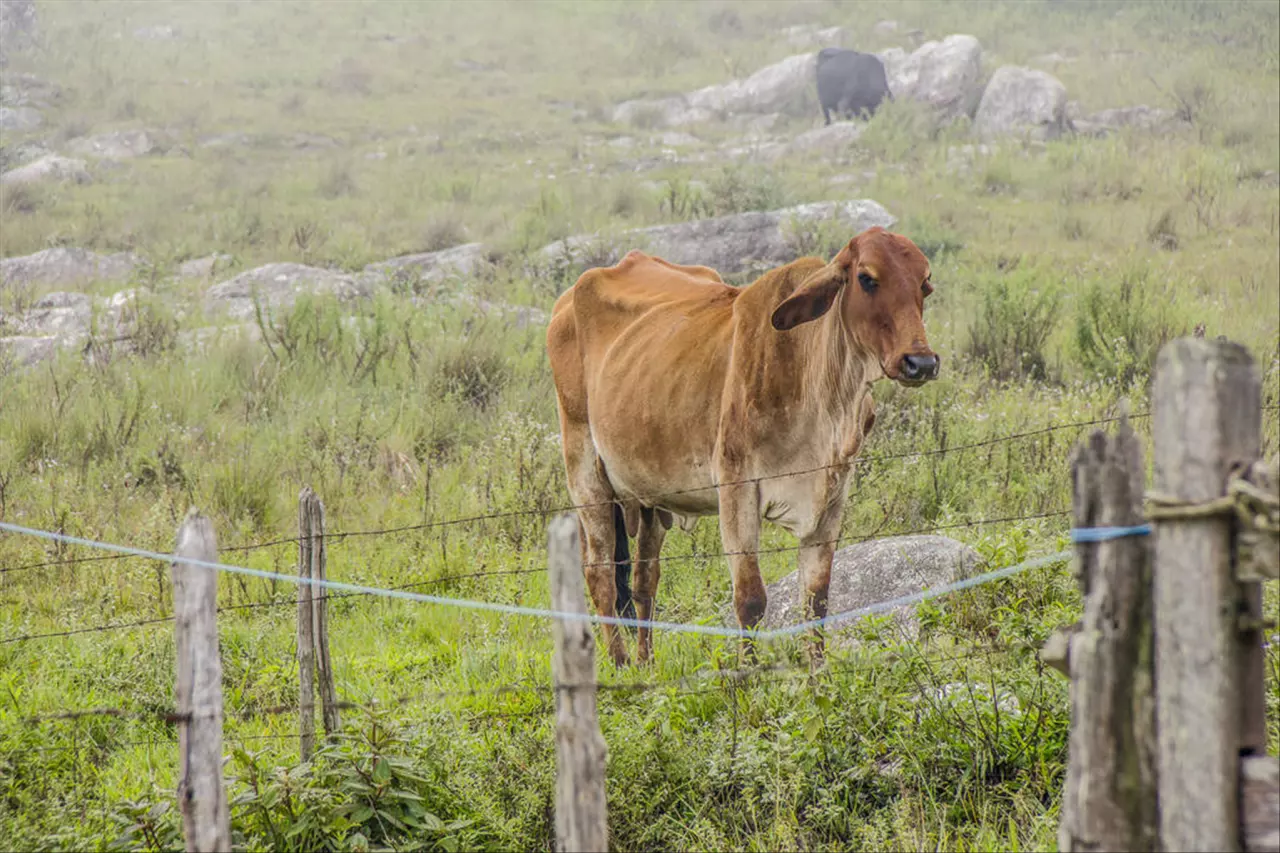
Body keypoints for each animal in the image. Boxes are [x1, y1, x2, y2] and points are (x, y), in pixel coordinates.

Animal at [545, 225, 936, 666]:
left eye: (925, 283)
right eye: (867, 278)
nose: (921, 362)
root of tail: (568, 298)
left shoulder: (831, 496)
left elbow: (816, 600)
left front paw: (818, 673)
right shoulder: (737, 491)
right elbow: (750, 600)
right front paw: (748, 674)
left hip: (648, 497)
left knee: (645, 579)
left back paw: (645, 660)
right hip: (585, 474)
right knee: (601, 576)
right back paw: (619, 661)